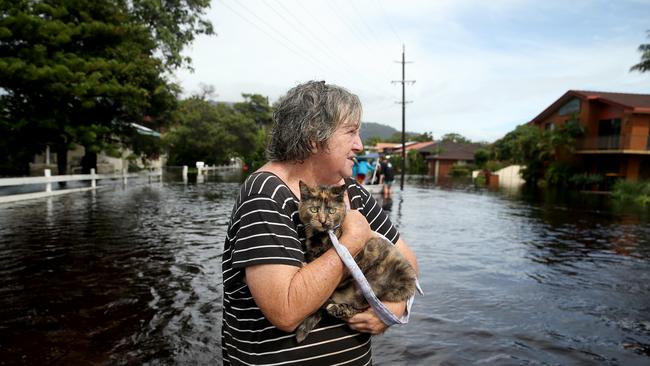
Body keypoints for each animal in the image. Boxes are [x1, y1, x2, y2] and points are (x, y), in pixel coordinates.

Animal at [294, 182, 416, 344]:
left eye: (332, 211)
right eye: (314, 209)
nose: (323, 221)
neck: (320, 237)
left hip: (380, 290)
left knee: (362, 309)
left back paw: (336, 309)